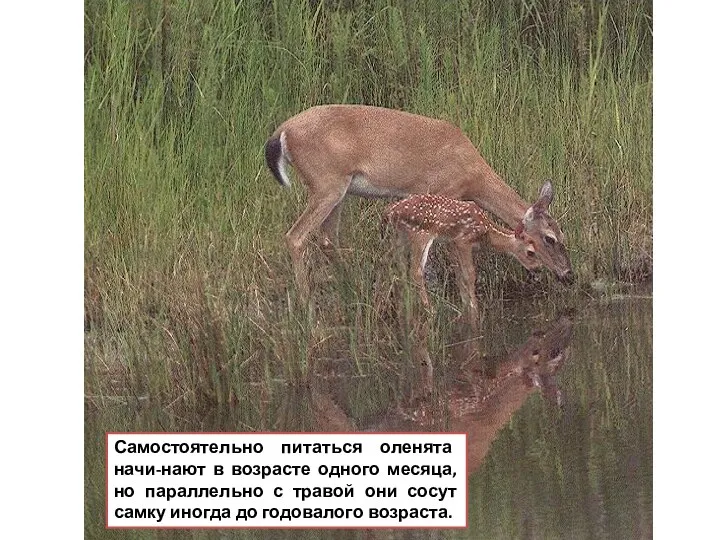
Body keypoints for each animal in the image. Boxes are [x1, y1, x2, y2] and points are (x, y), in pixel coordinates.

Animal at [264, 103, 572, 298]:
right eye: (549, 239)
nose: (567, 274)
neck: (473, 175)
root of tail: (281, 132)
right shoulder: (443, 196)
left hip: (337, 191)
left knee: (327, 239)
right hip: (326, 184)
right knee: (295, 237)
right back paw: (305, 302)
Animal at [386, 194, 544, 312]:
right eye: (530, 252)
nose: (538, 268)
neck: (486, 232)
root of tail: (390, 212)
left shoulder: (452, 242)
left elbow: (459, 274)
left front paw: (466, 302)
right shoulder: (464, 240)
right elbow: (470, 273)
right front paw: (474, 306)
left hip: (399, 235)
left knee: (398, 266)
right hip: (421, 234)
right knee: (416, 271)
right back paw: (430, 308)